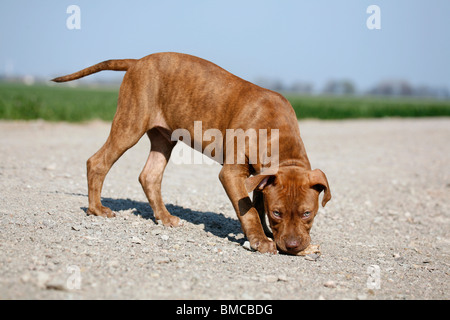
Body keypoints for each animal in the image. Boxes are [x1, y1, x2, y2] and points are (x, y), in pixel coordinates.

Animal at [54, 52, 332, 255]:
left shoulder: (260, 176)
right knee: (98, 161)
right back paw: (96, 209)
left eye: (307, 213)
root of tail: (137, 62)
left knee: (149, 176)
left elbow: (257, 202)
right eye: (278, 213)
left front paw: (266, 233)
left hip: (163, 138)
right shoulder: (232, 173)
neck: (278, 135)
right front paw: (261, 240)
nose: (293, 246)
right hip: (130, 124)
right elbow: (249, 209)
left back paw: (164, 217)